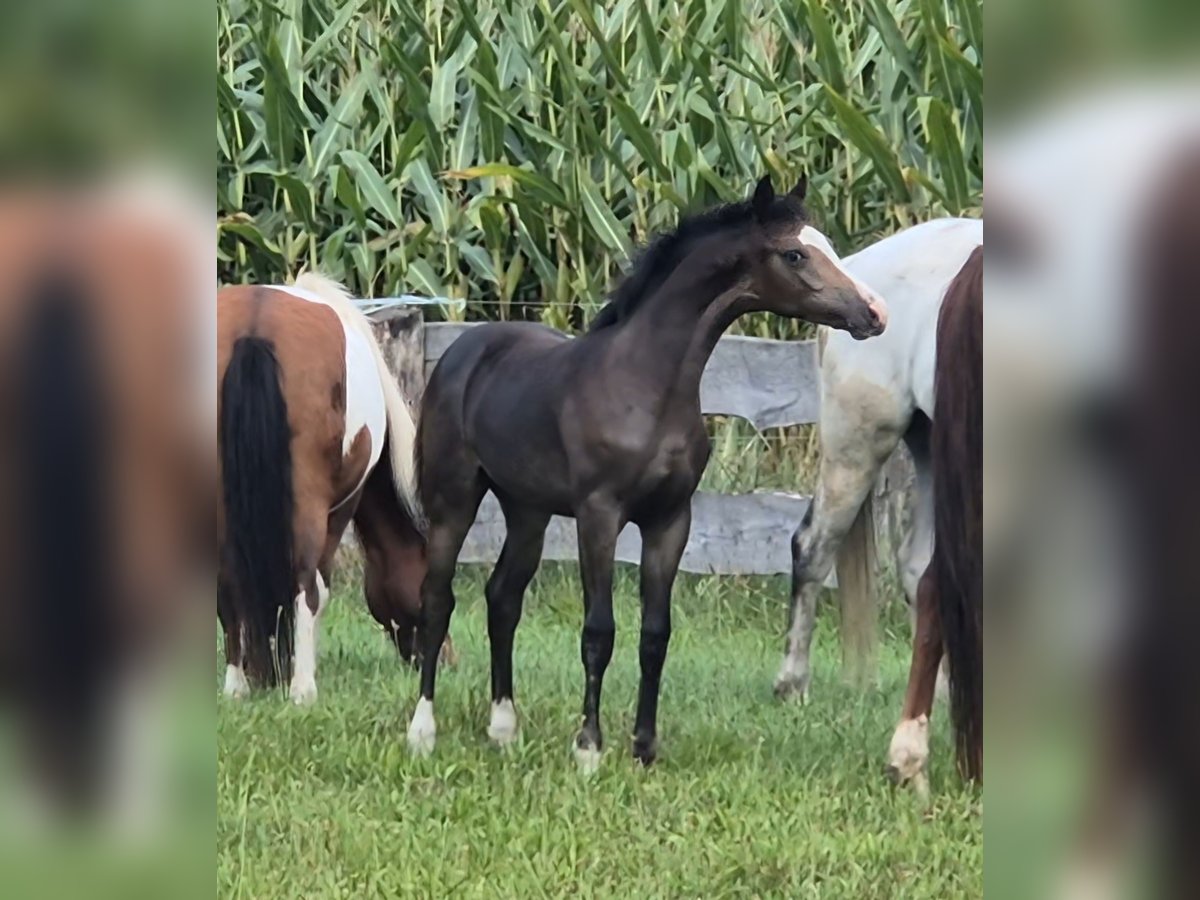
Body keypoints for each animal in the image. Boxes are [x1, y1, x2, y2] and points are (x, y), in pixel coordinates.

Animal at [219, 273, 432, 705]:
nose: (443, 657)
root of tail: (254, 327)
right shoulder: (342, 506)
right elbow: (319, 587)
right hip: (310, 506)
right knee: (305, 585)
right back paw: (303, 688)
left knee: (230, 582)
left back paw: (236, 685)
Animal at [408, 177, 888, 777]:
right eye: (795, 254)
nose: (874, 312)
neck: (645, 385)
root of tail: (462, 351)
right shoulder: (599, 515)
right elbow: (599, 630)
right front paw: (588, 748)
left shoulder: (669, 520)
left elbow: (655, 635)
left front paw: (644, 747)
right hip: (454, 500)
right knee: (437, 599)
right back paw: (422, 730)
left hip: (528, 511)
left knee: (502, 599)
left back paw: (503, 729)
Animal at [777, 214, 984, 700]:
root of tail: (854, 269)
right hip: (858, 444)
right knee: (812, 547)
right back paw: (792, 683)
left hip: (933, 446)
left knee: (918, 567)